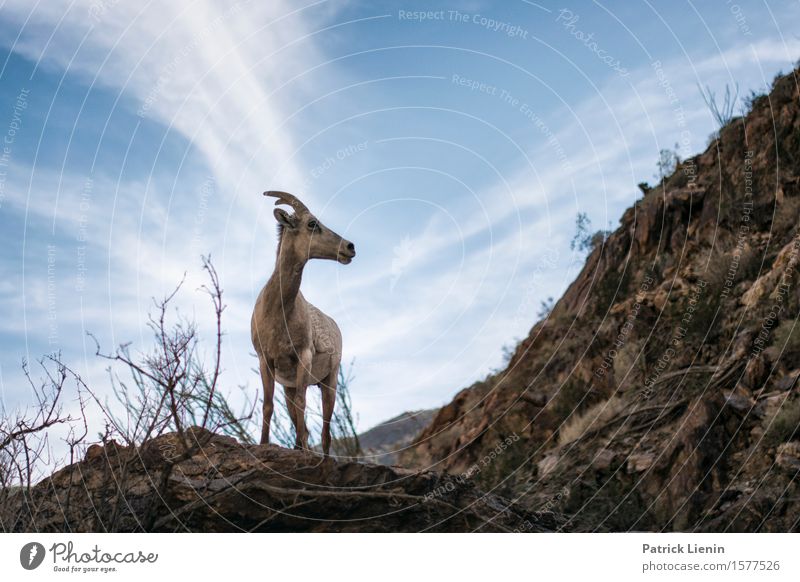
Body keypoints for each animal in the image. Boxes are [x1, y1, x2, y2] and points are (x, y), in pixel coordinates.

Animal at [250, 192, 356, 456]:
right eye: (312, 223)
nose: (350, 247)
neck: (278, 313)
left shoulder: (303, 355)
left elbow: (302, 404)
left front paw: (304, 451)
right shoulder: (265, 360)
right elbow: (268, 405)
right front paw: (264, 444)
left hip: (330, 381)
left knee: (326, 430)